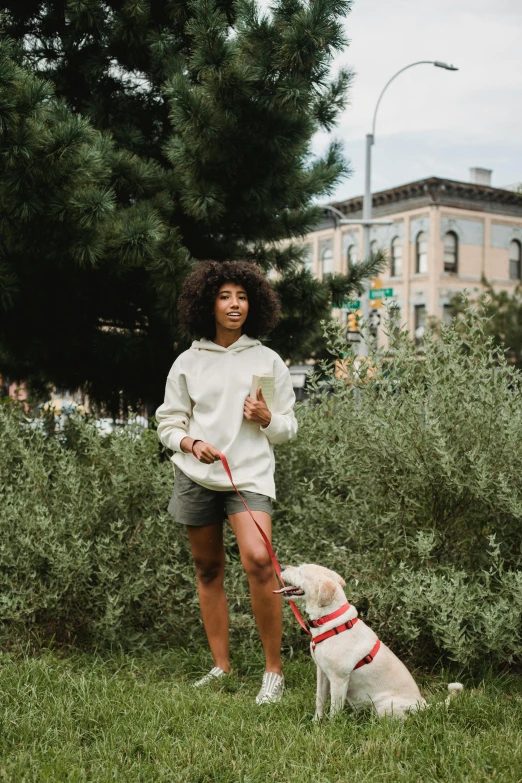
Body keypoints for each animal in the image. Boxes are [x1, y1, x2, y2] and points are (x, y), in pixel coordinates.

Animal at [274, 564, 462, 724]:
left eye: (301, 571)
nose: (281, 567)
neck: (329, 619)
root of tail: (423, 705)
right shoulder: (322, 672)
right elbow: (319, 701)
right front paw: (316, 722)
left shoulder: (339, 679)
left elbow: (334, 709)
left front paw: (330, 728)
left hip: (384, 707)